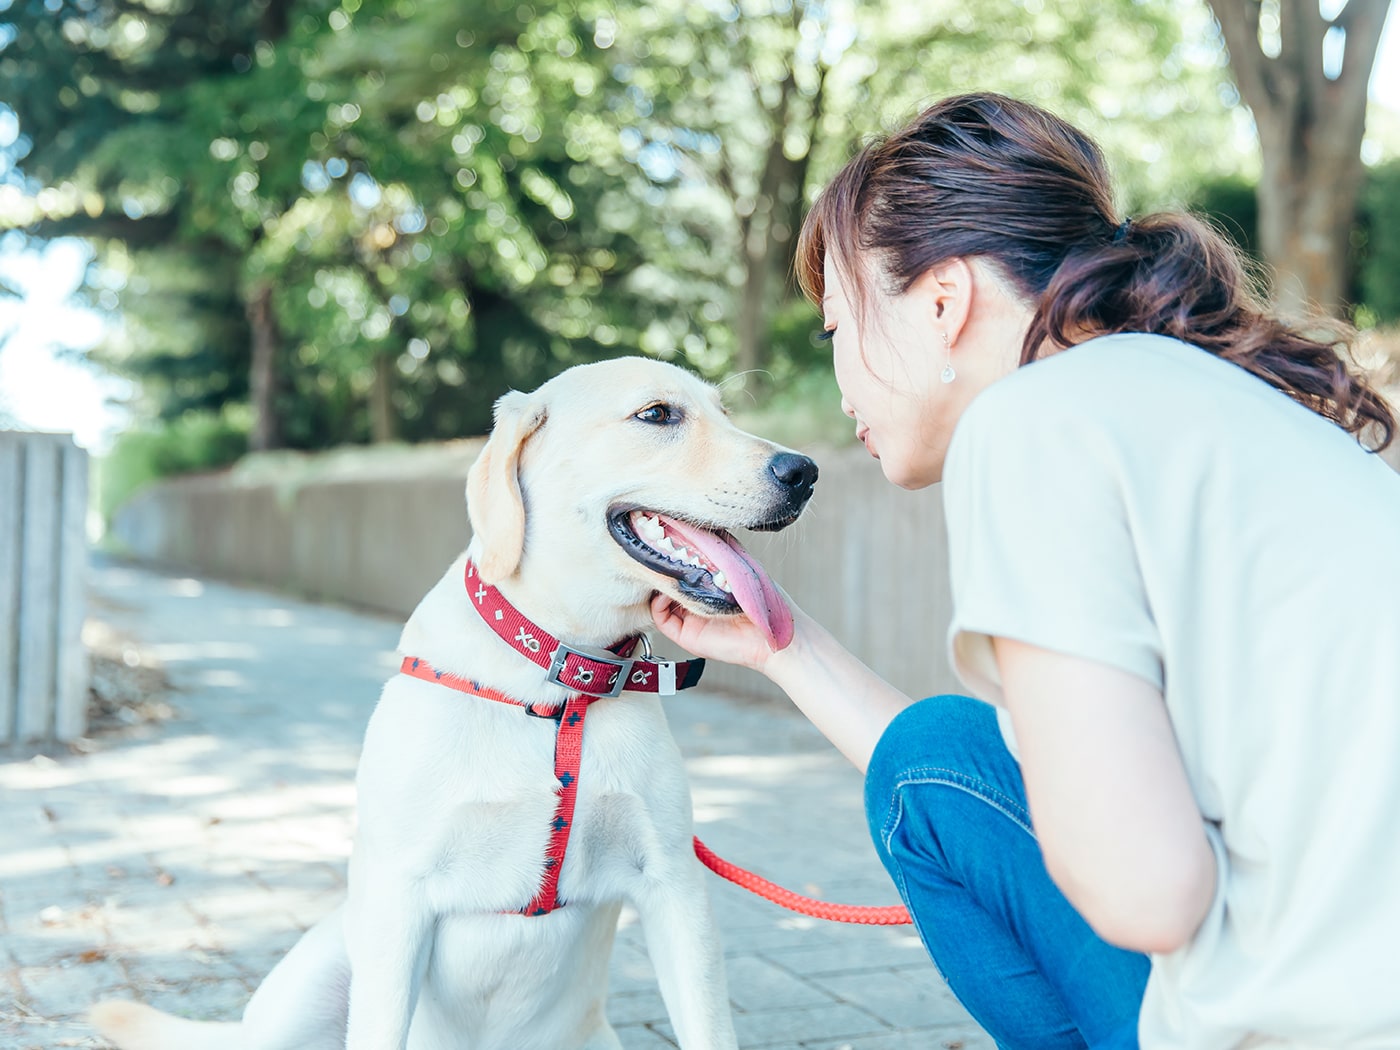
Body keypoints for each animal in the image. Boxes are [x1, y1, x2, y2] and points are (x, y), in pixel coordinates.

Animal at [93, 358, 817, 1047]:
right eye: (658, 414)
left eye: (727, 413)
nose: (804, 470)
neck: (558, 683)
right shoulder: (397, 899)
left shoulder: (674, 885)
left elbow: (709, 1026)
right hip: (315, 980)